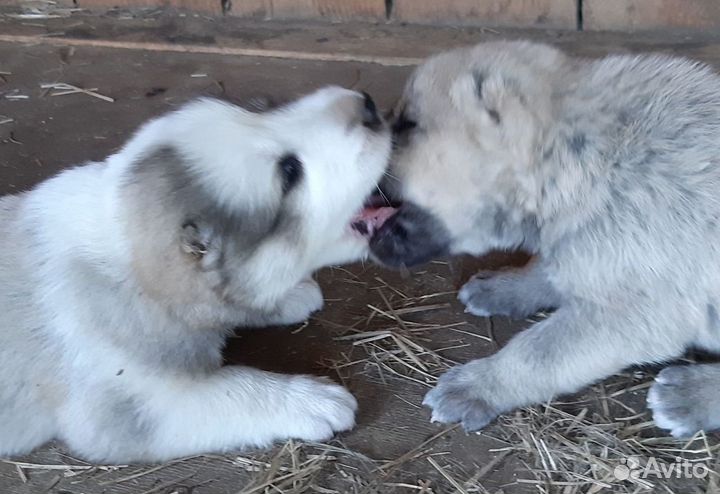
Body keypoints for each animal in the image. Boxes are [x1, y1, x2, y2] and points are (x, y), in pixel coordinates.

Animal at [0, 86, 390, 464]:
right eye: (290, 172)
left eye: (267, 110)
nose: (368, 106)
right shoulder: (147, 405)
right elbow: (235, 388)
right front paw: (309, 399)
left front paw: (289, 295)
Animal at [368, 41, 720, 436]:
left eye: (407, 124)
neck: (585, 164)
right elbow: (549, 269)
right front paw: (501, 287)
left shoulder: (637, 309)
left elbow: (538, 352)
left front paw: (475, 387)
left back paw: (688, 395)